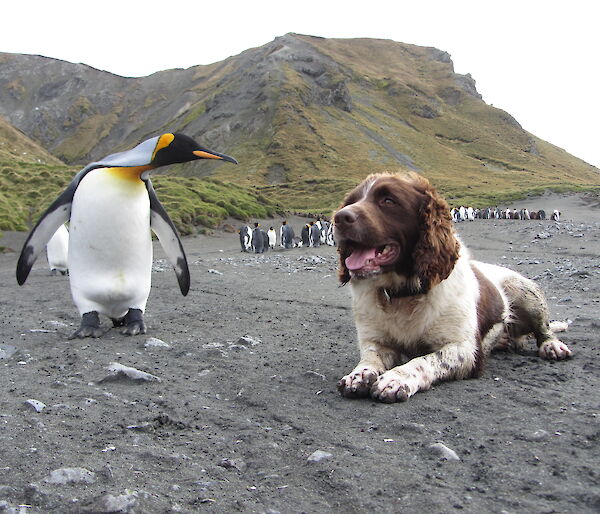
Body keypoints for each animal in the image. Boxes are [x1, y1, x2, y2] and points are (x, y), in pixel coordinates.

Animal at [336, 172, 568, 400]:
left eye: (388, 200)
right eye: (352, 201)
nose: (339, 218)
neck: (404, 294)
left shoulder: (465, 350)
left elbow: (423, 360)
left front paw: (396, 378)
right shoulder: (376, 340)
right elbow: (370, 357)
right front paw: (359, 375)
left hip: (523, 290)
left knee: (543, 328)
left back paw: (552, 345)